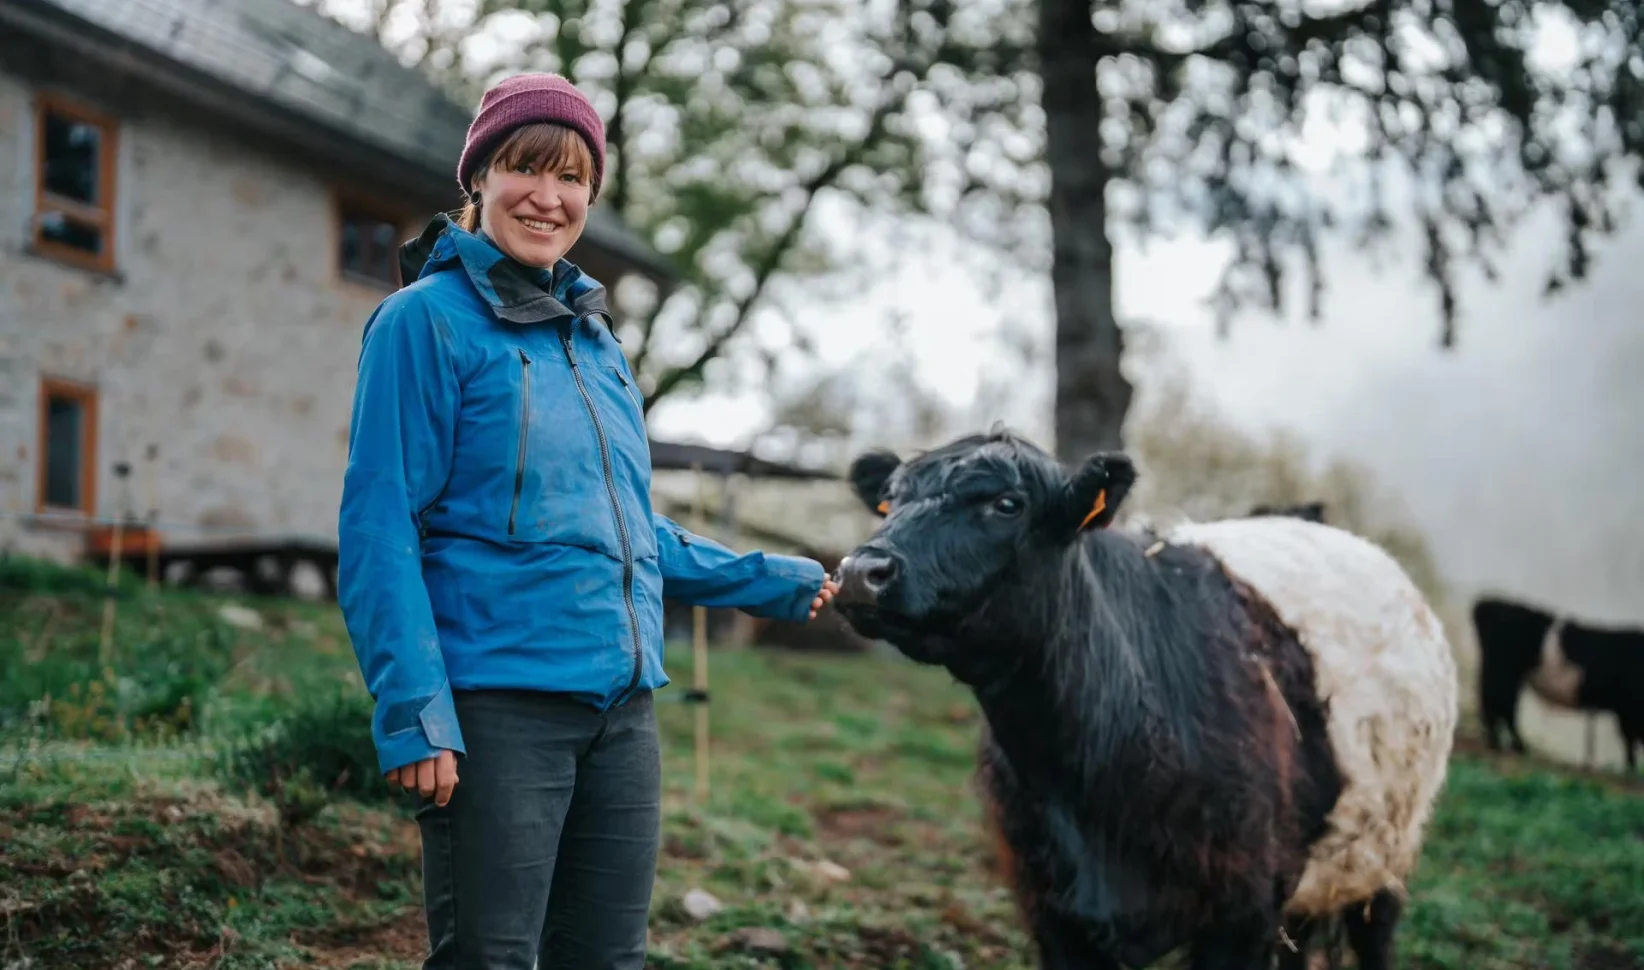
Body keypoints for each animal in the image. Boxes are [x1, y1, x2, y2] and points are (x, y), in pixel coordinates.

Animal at [835, 434, 1453, 970]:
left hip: (1388, 854)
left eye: (1007, 504)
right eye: (890, 500)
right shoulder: (1054, 914)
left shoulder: (1245, 914)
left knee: (1376, 934)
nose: (861, 572)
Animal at [1473, 591, 1644, 776]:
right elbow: (1630, 739)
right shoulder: (1630, 709)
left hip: (1502, 675)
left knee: (1498, 705)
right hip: (1503, 674)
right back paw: (1509, 745)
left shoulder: (1626, 711)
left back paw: (1503, 743)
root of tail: (1489, 604)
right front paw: (1631, 770)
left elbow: (1629, 740)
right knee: (1501, 706)